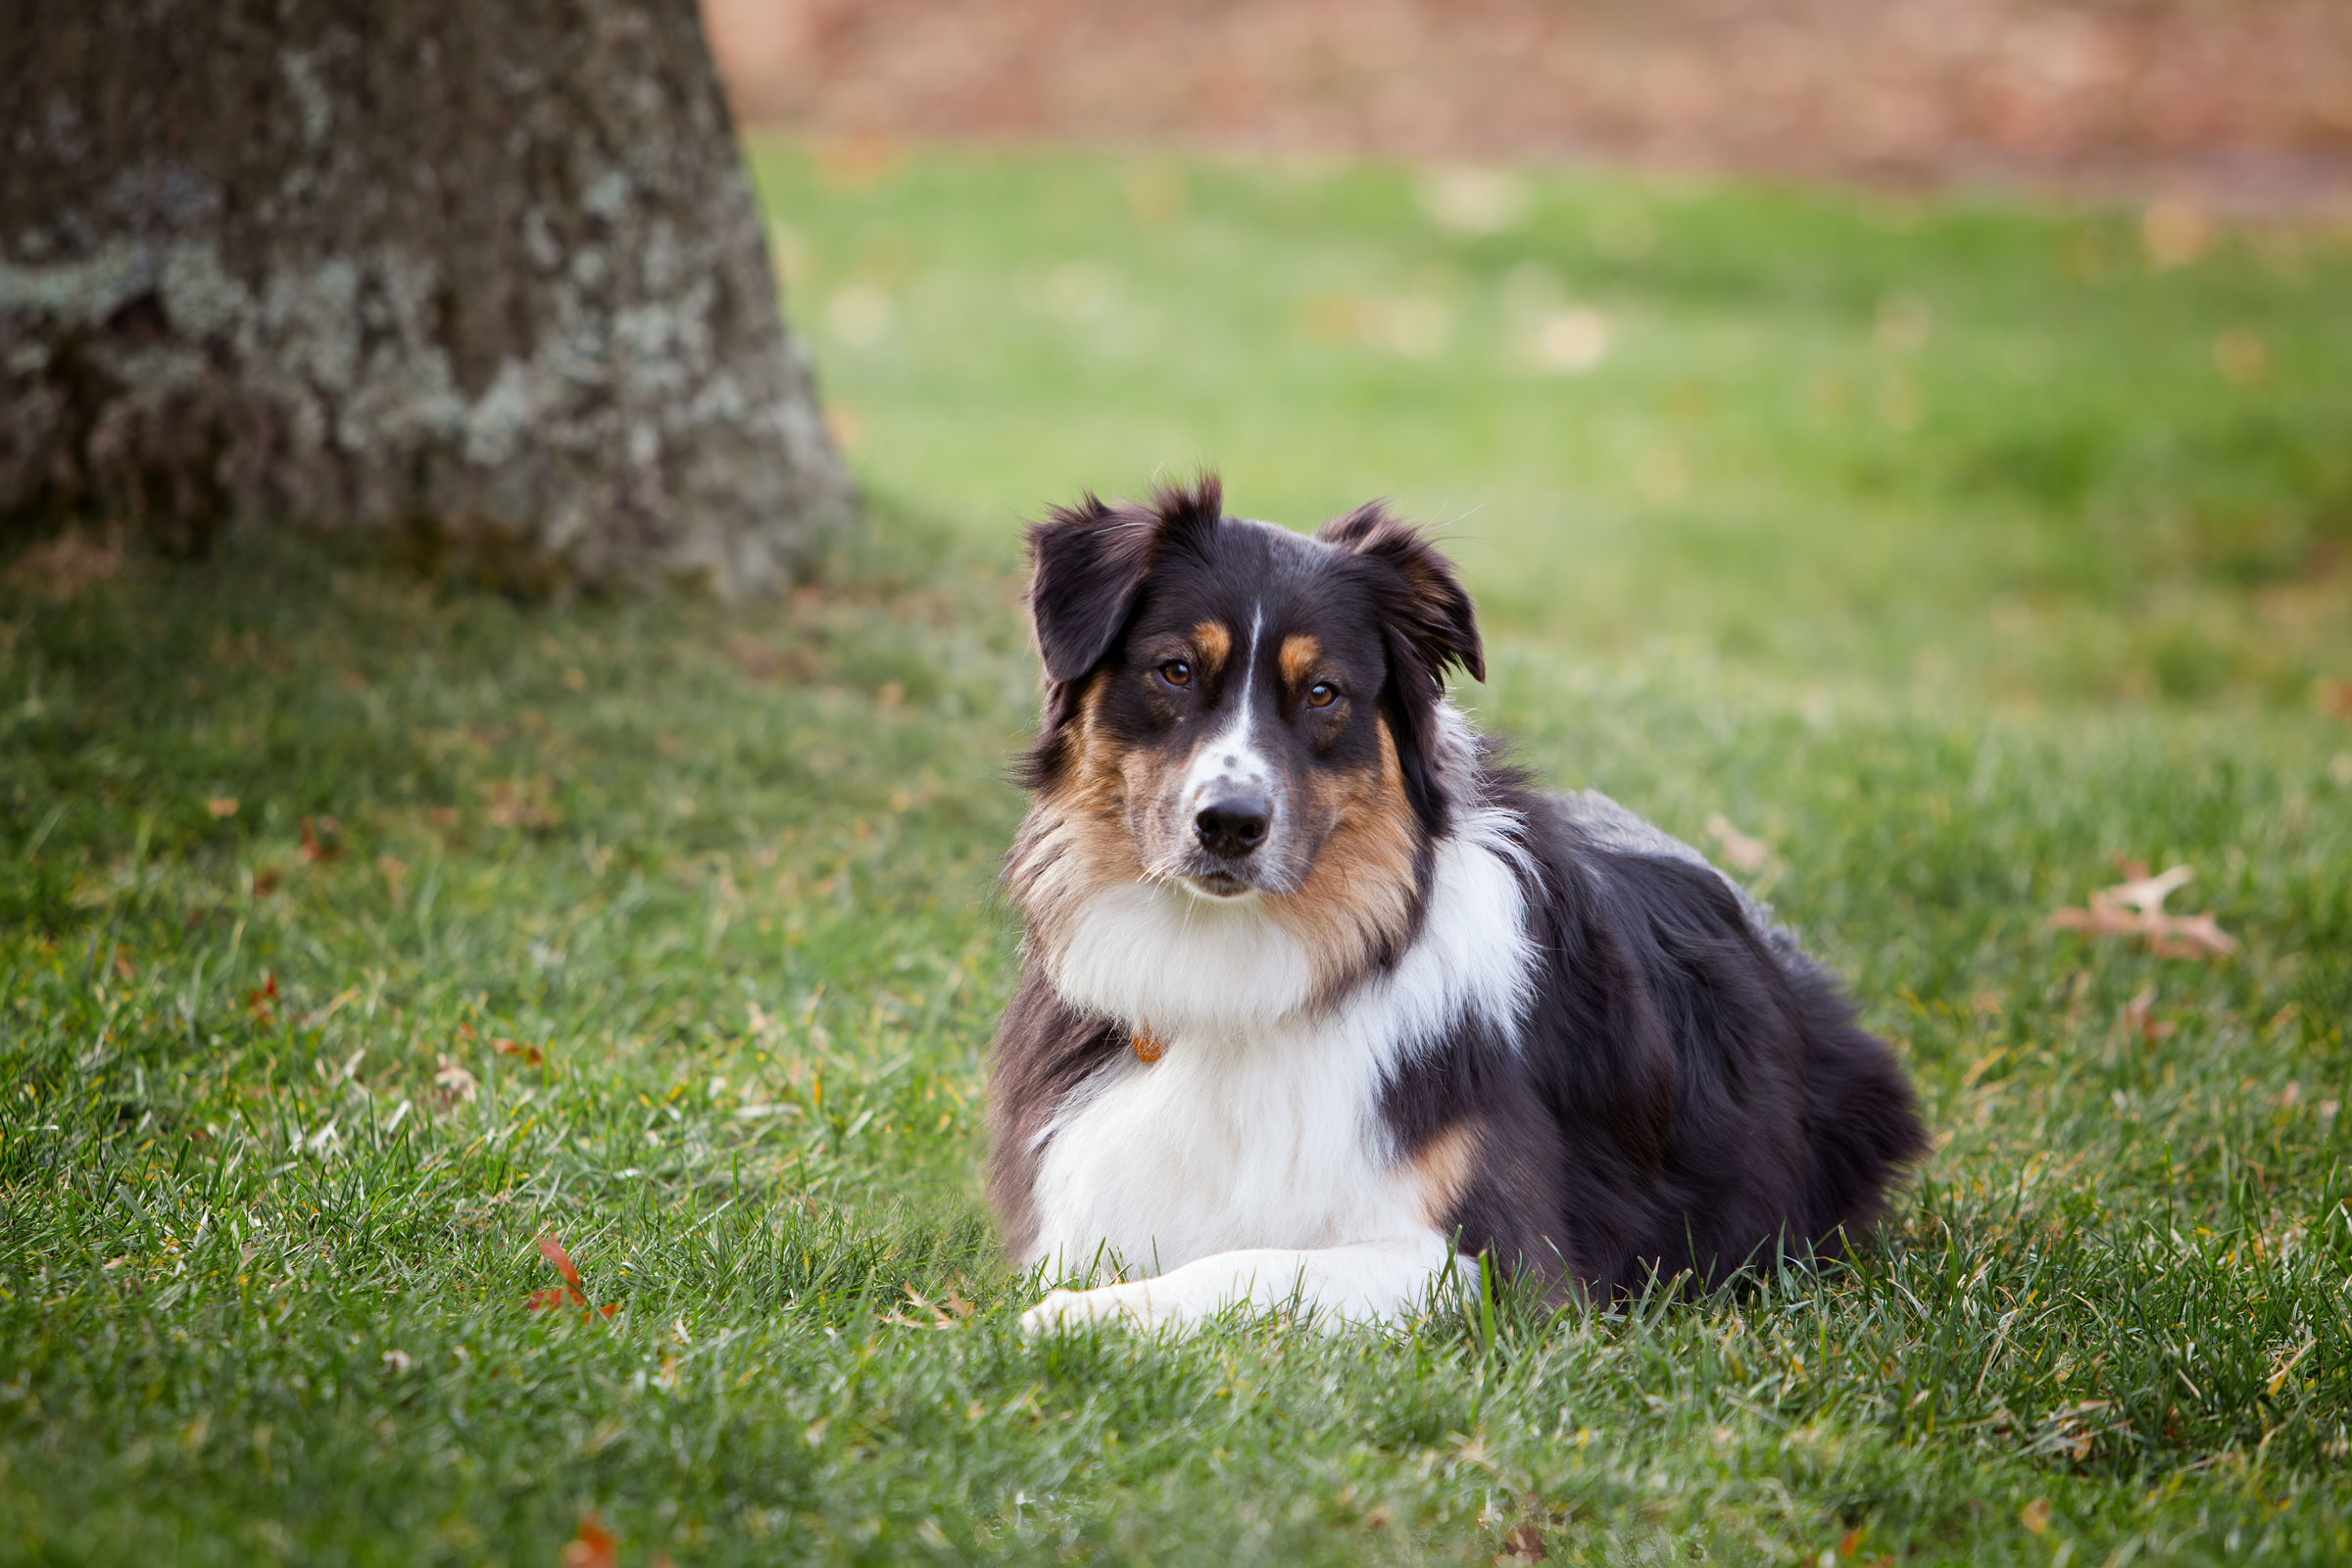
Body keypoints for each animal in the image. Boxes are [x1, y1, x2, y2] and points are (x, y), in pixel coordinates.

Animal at [983, 474, 1919, 1335]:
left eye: (1323, 693)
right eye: (1175, 670)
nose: (1230, 824)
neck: (1246, 966)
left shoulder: (1503, 1264)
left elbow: (1254, 1264)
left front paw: (1085, 1315)